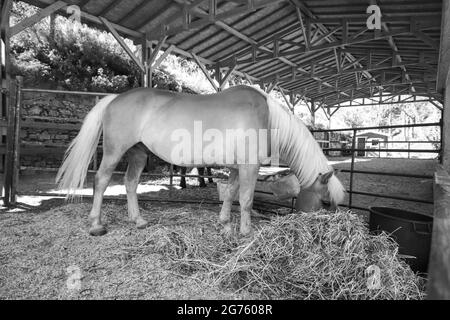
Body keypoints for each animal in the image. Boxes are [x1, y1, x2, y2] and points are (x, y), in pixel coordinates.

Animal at [56, 86, 344, 236]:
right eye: (325, 201)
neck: (268, 119)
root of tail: (114, 98)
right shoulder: (249, 167)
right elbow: (246, 201)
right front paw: (246, 233)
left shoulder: (236, 169)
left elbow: (231, 194)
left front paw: (225, 225)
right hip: (115, 152)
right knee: (101, 181)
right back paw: (96, 224)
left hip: (138, 154)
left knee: (130, 184)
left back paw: (138, 220)